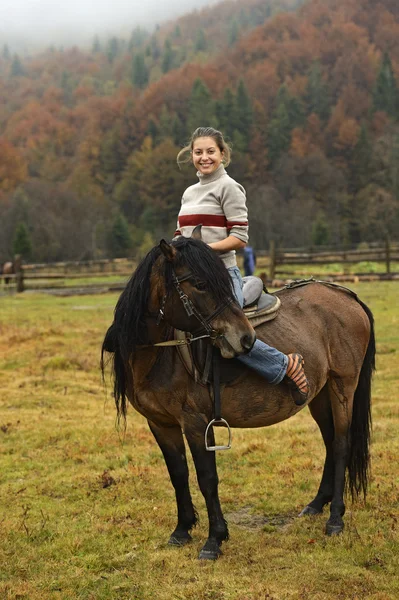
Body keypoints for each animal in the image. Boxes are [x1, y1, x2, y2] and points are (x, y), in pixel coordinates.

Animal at [102, 233, 376, 556]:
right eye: (200, 283)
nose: (246, 338)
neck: (160, 354)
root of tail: (347, 296)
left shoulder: (195, 423)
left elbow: (207, 478)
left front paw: (214, 539)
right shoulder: (160, 423)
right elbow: (178, 474)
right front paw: (182, 530)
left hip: (343, 385)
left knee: (343, 444)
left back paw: (335, 519)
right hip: (319, 396)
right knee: (331, 443)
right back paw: (316, 504)